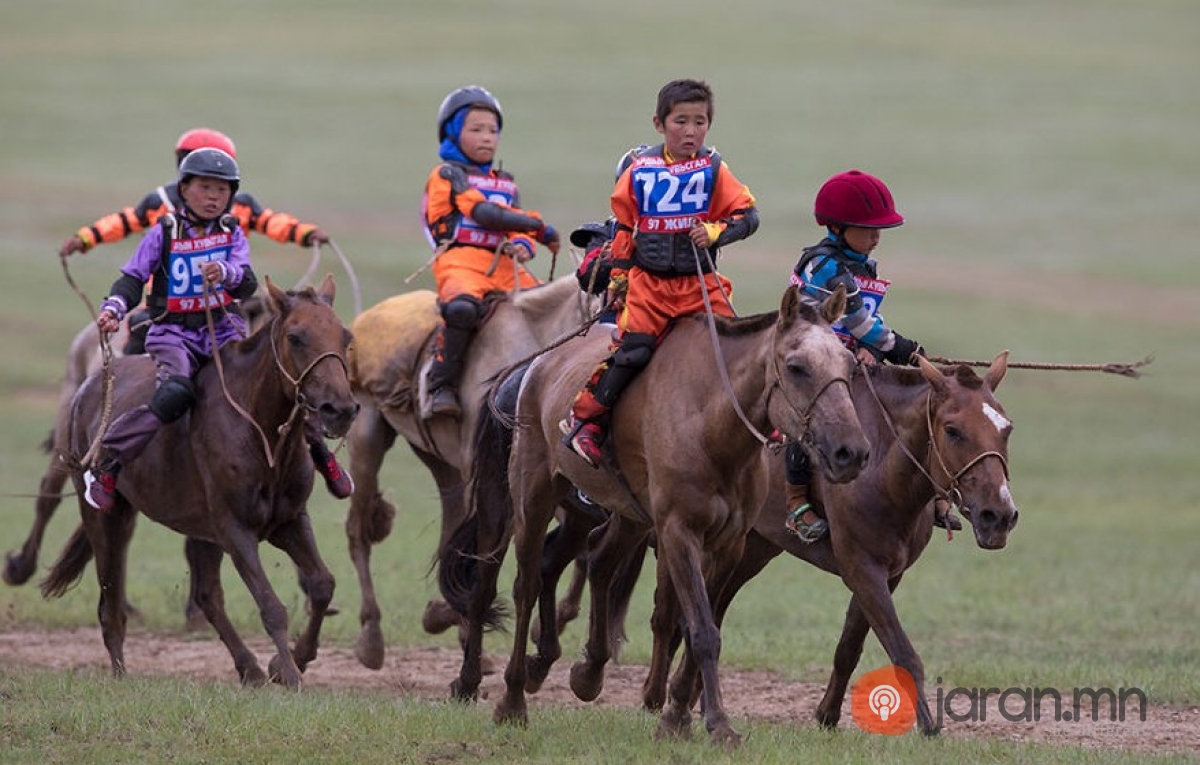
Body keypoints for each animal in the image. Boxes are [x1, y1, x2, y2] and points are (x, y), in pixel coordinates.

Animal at [39, 276, 357, 690]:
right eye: (296, 337)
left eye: (345, 336)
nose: (341, 410)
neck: (260, 431)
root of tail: (90, 385)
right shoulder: (236, 528)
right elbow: (270, 605)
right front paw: (288, 672)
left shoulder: (288, 521)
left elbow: (322, 585)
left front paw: (290, 661)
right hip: (107, 516)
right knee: (111, 601)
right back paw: (121, 672)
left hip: (200, 530)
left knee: (207, 596)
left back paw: (250, 667)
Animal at [441, 286, 873, 743]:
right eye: (796, 367)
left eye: (848, 365)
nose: (851, 452)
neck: (712, 423)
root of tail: (535, 366)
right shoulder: (678, 531)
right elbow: (700, 629)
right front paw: (714, 724)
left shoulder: (730, 542)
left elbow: (702, 623)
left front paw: (678, 714)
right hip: (530, 495)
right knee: (523, 586)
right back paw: (510, 699)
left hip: (628, 514)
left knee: (599, 563)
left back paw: (587, 673)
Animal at [573, 354, 1022, 738]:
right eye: (953, 430)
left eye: (1007, 428)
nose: (998, 515)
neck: (882, 464)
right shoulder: (862, 566)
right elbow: (901, 648)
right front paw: (929, 727)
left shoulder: (886, 572)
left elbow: (850, 645)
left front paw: (827, 715)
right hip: (645, 520)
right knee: (632, 584)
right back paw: (630, 687)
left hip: (749, 549)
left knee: (697, 608)